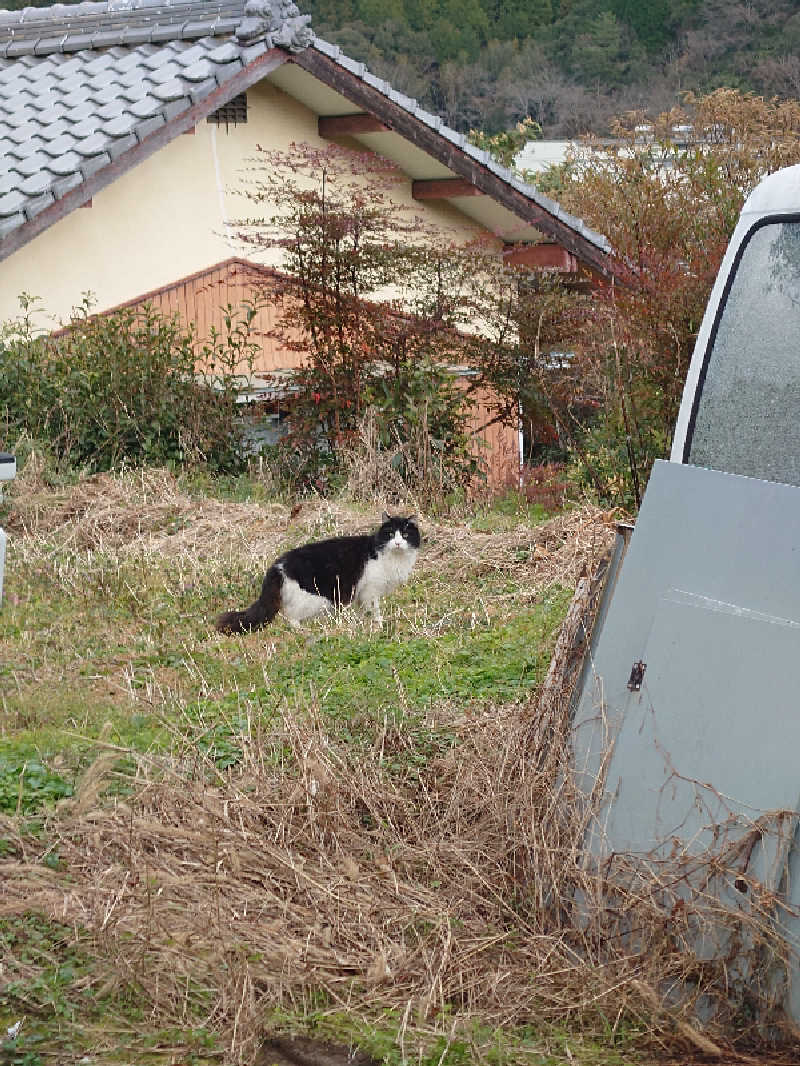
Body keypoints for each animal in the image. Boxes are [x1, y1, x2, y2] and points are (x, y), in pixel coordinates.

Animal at [216, 515, 422, 631]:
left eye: (405, 535)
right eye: (390, 534)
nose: (398, 543)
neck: (391, 556)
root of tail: (277, 565)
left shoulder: (362, 595)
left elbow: (364, 612)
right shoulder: (371, 590)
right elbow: (376, 611)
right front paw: (378, 626)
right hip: (315, 599)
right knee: (291, 617)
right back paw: (305, 631)